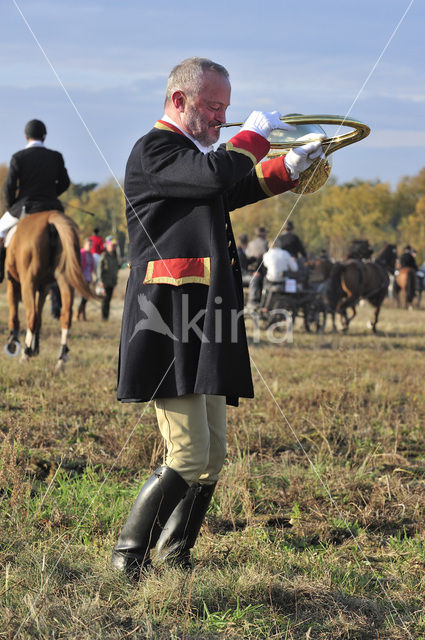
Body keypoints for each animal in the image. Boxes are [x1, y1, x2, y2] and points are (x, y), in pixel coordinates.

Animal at [4, 210, 95, 370]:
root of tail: (50, 218)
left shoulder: (13, 283)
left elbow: (15, 315)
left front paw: (14, 345)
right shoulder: (44, 288)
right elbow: (40, 318)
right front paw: (35, 349)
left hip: (27, 283)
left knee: (31, 316)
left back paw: (25, 355)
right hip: (64, 279)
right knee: (65, 316)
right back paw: (61, 359)